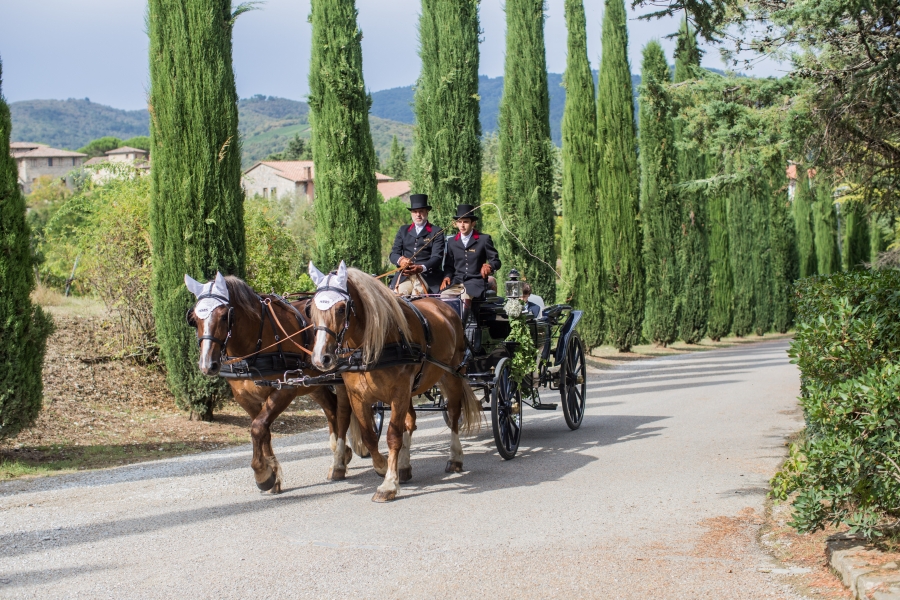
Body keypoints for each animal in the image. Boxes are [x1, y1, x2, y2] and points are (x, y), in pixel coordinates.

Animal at [306, 262, 482, 502]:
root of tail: (443, 306)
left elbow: (392, 436)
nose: (320, 358)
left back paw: (455, 458)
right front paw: (383, 466)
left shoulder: (399, 392)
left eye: (342, 308)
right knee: (410, 420)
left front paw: (388, 483)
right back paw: (404, 466)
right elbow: (369, 436)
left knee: (454, 414)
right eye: (311, 310)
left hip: (452, 376)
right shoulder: (357, 396)